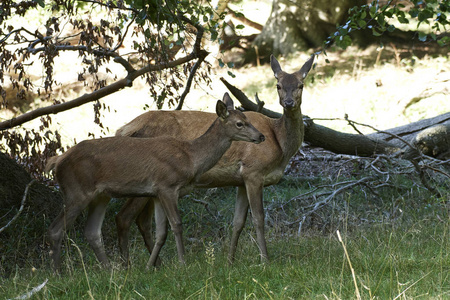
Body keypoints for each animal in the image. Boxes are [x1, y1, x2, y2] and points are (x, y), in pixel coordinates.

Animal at [45, 95, 264, 270]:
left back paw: (110, 270)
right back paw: (58, 273)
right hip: (76, 191)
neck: (190, 157)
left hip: (100, 196)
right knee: (55, 230)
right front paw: (183, 264)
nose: (261, 136)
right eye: (239, 123)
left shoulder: (157, 193)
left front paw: (150, 266)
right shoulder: (167, 185)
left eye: (248, 119)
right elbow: (176, 224)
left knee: (91, 232)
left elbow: (160, 232)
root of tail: (56, 161)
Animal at [114, 53, 314, 264]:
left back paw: (154, 264)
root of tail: (122, 130)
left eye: (301, 85)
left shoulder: (241, 180)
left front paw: (230, 260)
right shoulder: (253, 170)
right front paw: (265, 260)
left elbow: (238, 221)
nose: (289, 102)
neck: (279, 143)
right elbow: (258, 218)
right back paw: (130, 264)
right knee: (124, 217)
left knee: (141, 220)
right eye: (278, 85)